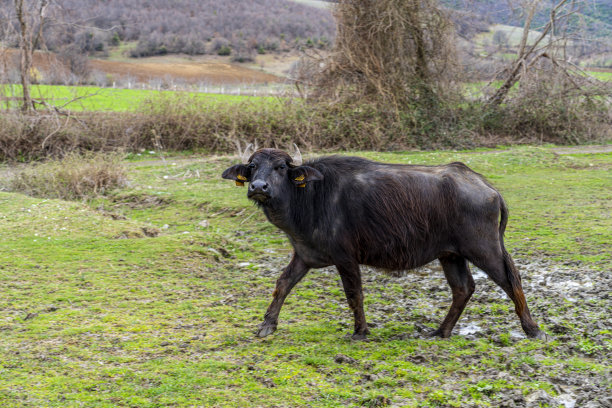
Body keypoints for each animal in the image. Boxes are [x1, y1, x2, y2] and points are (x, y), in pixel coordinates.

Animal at [222, 147, 548, 342]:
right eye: (252, 167)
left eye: (280, 167)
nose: (259, 187)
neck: (311, 197)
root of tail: (486, 187)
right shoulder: (304, 255)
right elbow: (282, 284)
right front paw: (267, 325)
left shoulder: (346, 257)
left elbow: (354, 294)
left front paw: (360, 331)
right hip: (450, 254)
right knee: (463, 288)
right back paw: (440, 331)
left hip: (484, 248)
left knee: (511, 279)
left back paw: (533, 330)